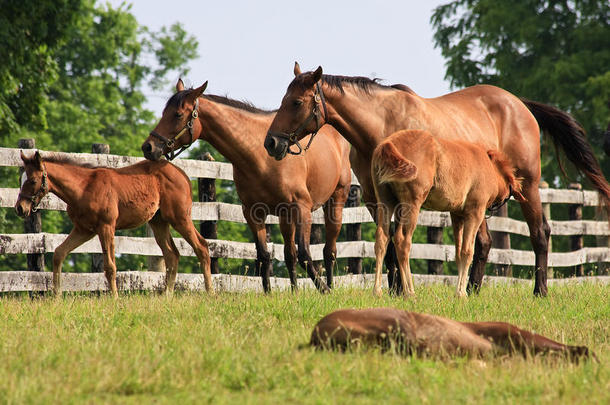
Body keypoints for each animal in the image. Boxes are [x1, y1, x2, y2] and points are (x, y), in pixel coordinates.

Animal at [368, 129, 524, 296]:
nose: (493, 208)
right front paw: (461, 294)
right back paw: (410, 292)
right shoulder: (475, 212)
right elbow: (467, 251)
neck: (489, 167)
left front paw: (459, 291)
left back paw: (377, 291)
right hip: (412, 204)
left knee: (382, 239)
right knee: (402, 241)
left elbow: (459, 252)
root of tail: (389, 142)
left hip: (386, 202)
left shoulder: (457, 215)